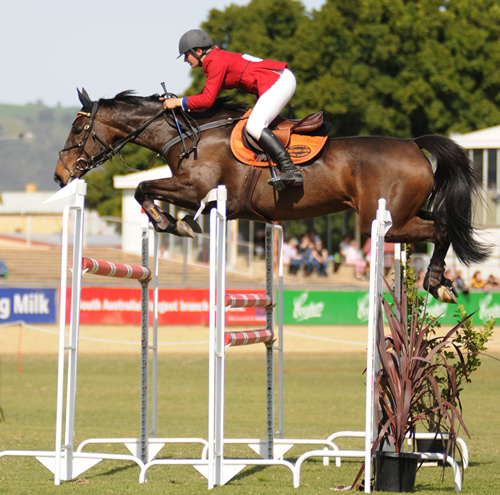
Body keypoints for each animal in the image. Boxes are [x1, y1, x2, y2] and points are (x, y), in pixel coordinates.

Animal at [54, 89, 492, 306]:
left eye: (77, 130)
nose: (59, 175)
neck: (190, 135)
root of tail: (415, 145)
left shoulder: (195, 189)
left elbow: (144, 188)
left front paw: (170, 223)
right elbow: (146, 191)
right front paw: (174, 222)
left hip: (387, 222)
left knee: (442, 228)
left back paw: (436, 282)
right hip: (402, 215)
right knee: (441, 224)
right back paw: (442, 281)